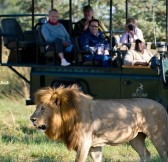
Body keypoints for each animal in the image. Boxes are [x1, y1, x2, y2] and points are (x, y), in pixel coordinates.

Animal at [29, 84, 168, 161]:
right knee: (146, 154)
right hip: (136, 138)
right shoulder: (94, 146)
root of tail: (162, 106)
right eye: (36, 107)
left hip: (159, 136)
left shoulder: (84, 143)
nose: (31, 119)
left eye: (43, 109)